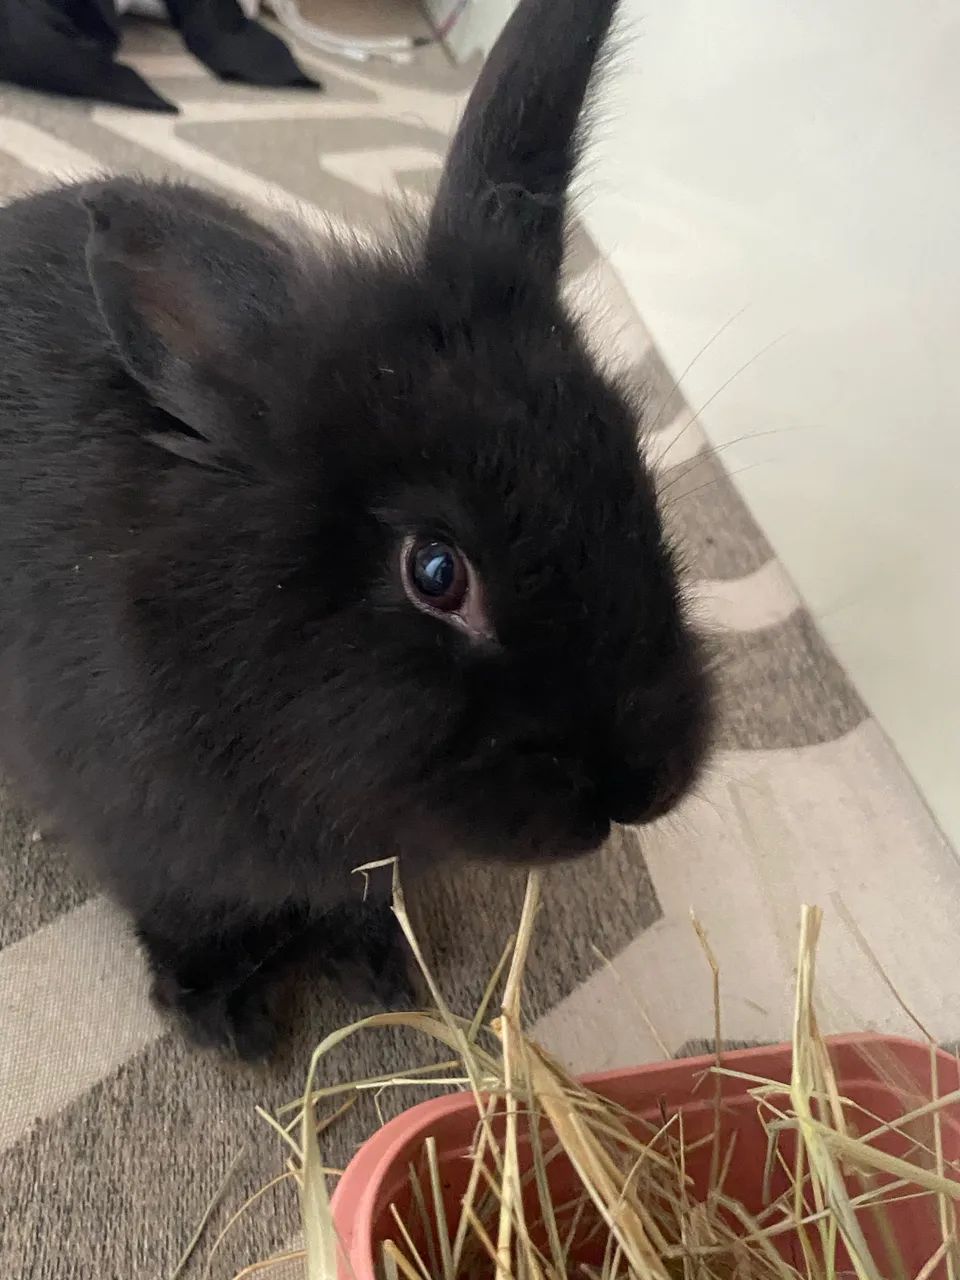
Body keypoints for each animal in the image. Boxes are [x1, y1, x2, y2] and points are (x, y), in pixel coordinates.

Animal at [0, 0, 712, 1061]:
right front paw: (232, 1024)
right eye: (435, 571)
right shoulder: (146, 840)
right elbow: (188, 917)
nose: (641, 786)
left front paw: (384, 965)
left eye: (628, 457)